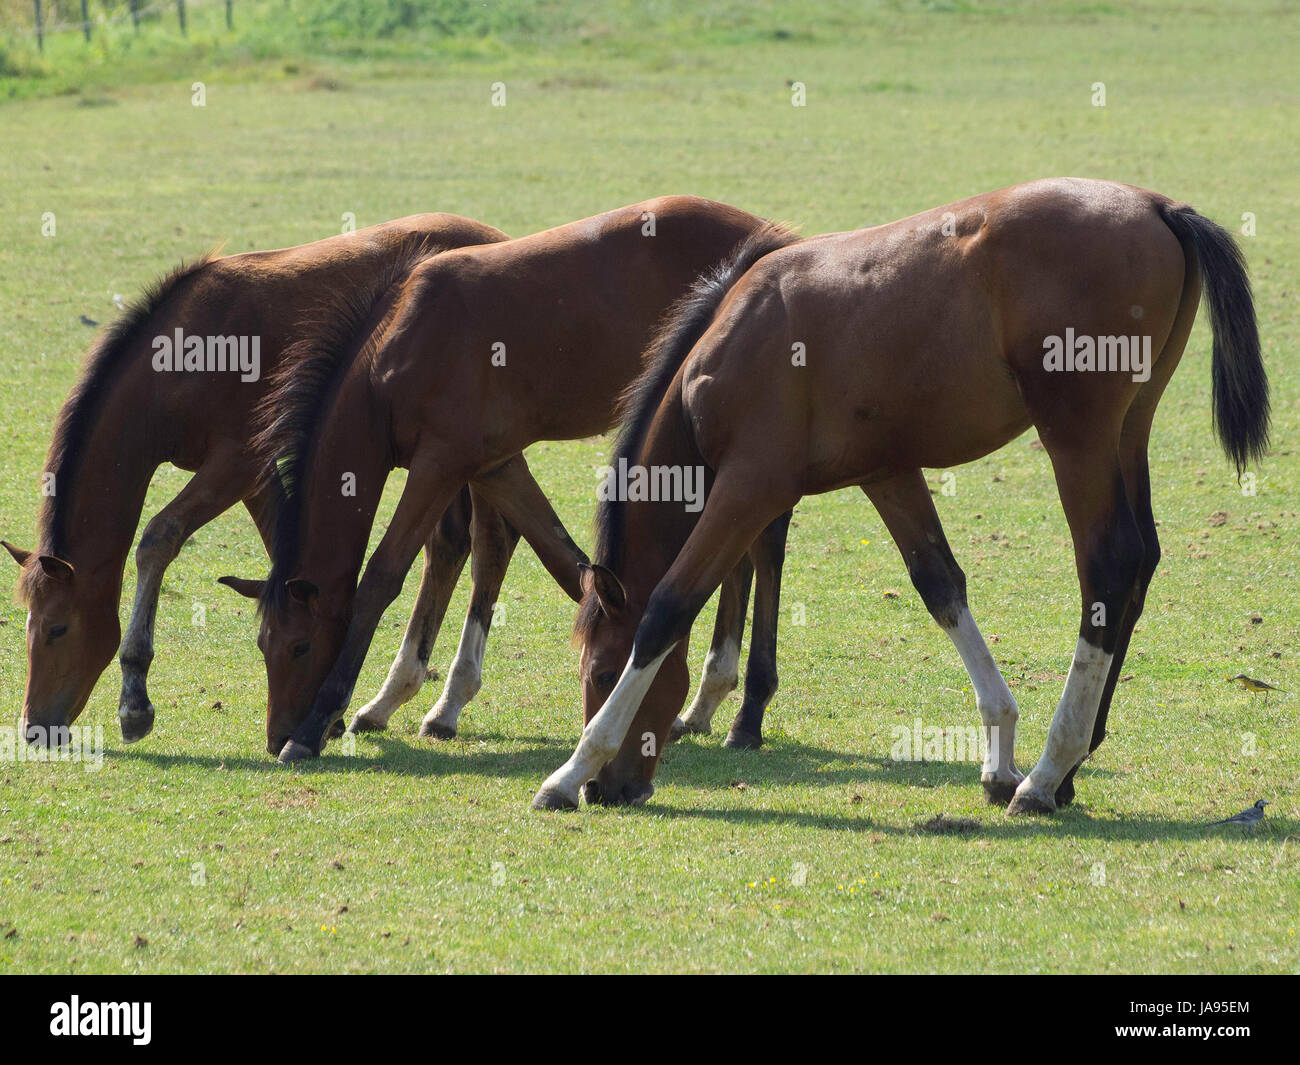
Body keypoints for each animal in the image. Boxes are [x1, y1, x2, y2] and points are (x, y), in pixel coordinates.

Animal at [3, 214, 515, 753]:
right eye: (28, 627)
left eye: (57, 629)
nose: (33, 727)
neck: (183, 356)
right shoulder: (255, 478)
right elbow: (282, 554)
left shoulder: (237, 464)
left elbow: (158, 538)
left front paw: (135, 702)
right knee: (450, 547)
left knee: (491, 545)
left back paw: (443, 705)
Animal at [233, 197, 787, 762]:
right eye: (263, 644)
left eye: (300, 645)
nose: (275, 734)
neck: (395, 354)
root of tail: (773, 237)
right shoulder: (495, 465)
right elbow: (564, 564)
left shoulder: (439, 466)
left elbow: (382, 579)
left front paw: (314, 727)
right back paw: (704, 706)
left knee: (763, 548)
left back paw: (744, 711)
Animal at [533, 178, 1269, 815]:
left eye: (600, 672)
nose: (609, 789)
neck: (737, 338)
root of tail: (1157, 206)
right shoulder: (888, 472)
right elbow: (940, 584)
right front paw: (997, 753)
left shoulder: (750, 486)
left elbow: (667, 609)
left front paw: (569, 772)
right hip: (1128, 430)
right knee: (1139, 565)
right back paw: (1067, 769)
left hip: (1077, 436)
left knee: (1109, 568)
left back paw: (1048, 773)